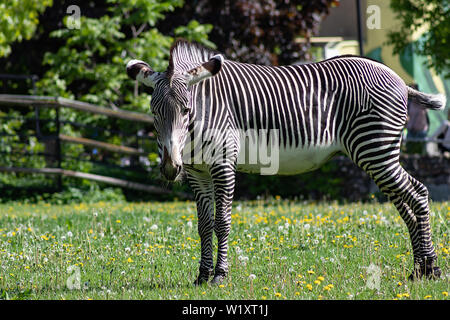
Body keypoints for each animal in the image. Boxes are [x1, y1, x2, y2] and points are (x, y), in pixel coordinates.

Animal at [125, 38, 442, 284]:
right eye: (154, 112)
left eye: (187, 110)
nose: (170, 168)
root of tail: (398, 79)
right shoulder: (196, 171)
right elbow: (203, 226)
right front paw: (202, 277)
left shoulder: (223, 164)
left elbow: (222, 222)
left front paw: (220, 276)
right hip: (377, 155)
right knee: (406, 206)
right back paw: (417, 272)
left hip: (375, 151)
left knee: (419, 194)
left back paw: (432, 270)